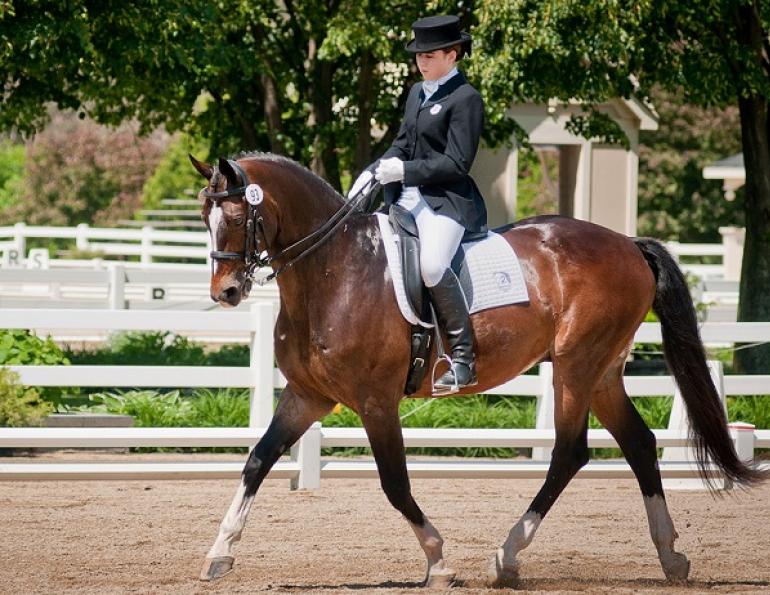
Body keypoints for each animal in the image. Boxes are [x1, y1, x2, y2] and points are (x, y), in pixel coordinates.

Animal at [190, 152, 763, 588]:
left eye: (237, 219)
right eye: (204, 218)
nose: (226, 293)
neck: (334, 271)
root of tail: (627, 243)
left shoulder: (376, 402)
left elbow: (394, 483)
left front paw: (439, 560)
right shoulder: (306, 396)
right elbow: (257, 461)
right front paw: (218, 554)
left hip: (576, 366)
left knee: (570, 452)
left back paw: (507, 556)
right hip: (601, 372)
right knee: (640, 444)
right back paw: (671, 557)